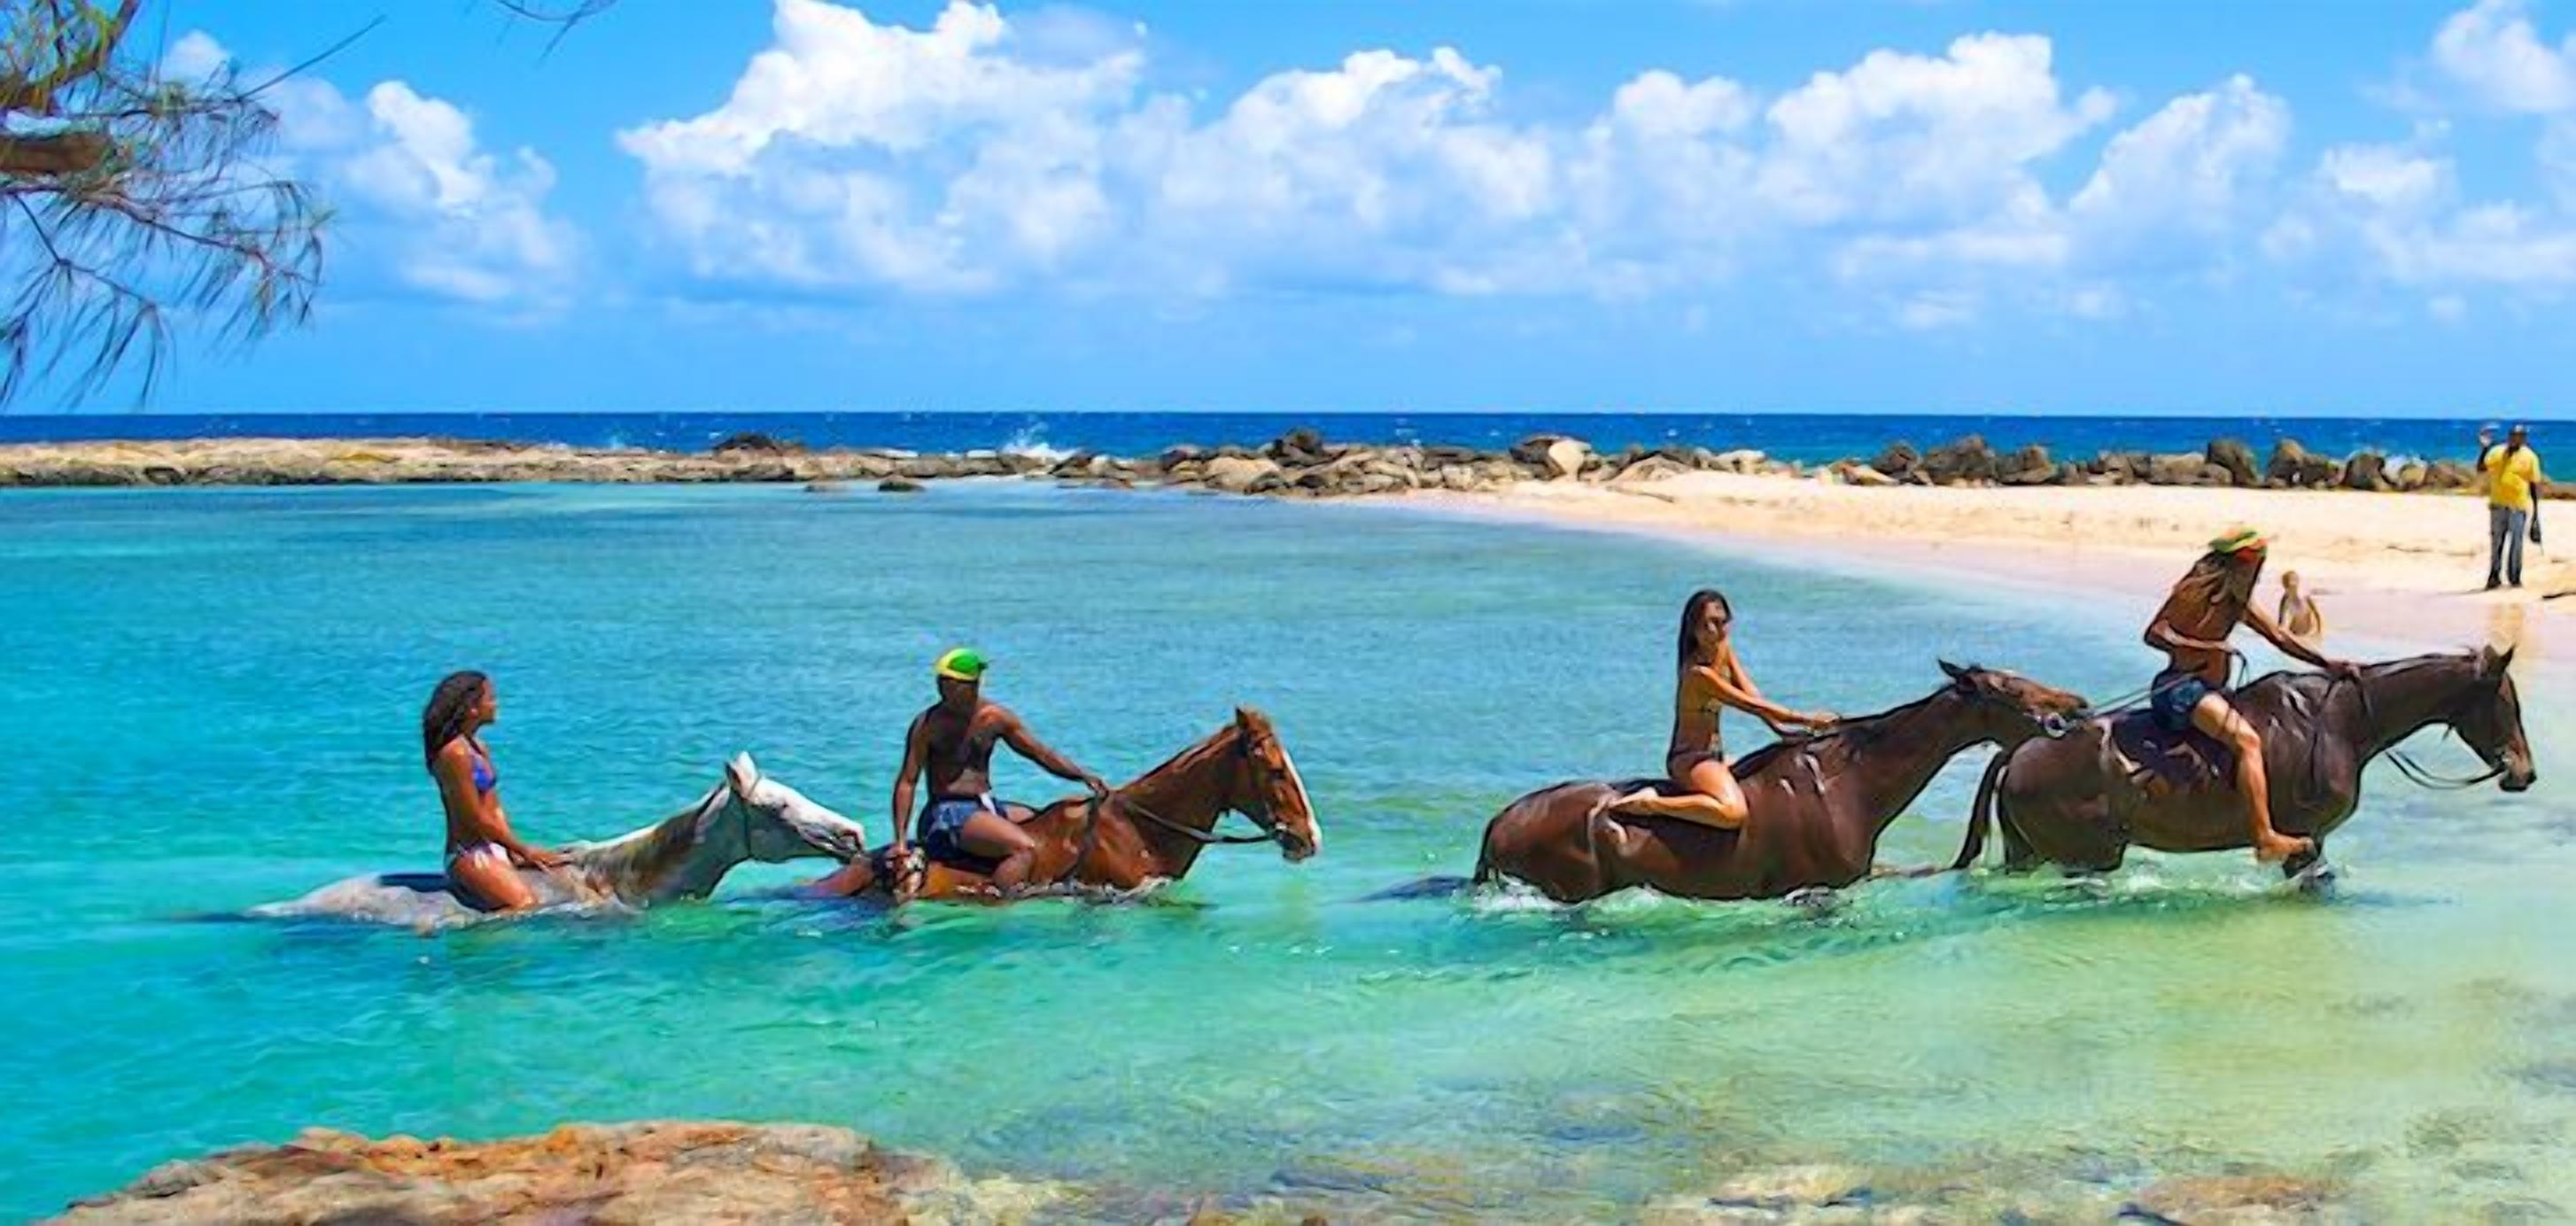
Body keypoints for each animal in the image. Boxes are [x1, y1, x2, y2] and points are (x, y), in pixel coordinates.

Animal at [1950, 648, 2536, 879]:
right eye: (2508, 704)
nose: (2525, 773)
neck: (2340, 722)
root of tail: (2017, 751)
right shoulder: (2307, 838)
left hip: (2030, 852)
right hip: (2086, 857)